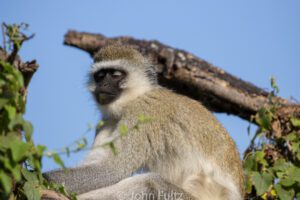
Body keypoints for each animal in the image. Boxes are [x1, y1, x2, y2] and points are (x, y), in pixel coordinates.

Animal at [43, 45, 245, 200]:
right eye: (100, 76)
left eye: (115, 75)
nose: (102, 86)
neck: (135, 98)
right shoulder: (107, 122)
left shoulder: (143, 112)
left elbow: (113, 169)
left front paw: (40, 177)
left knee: (149, 184)